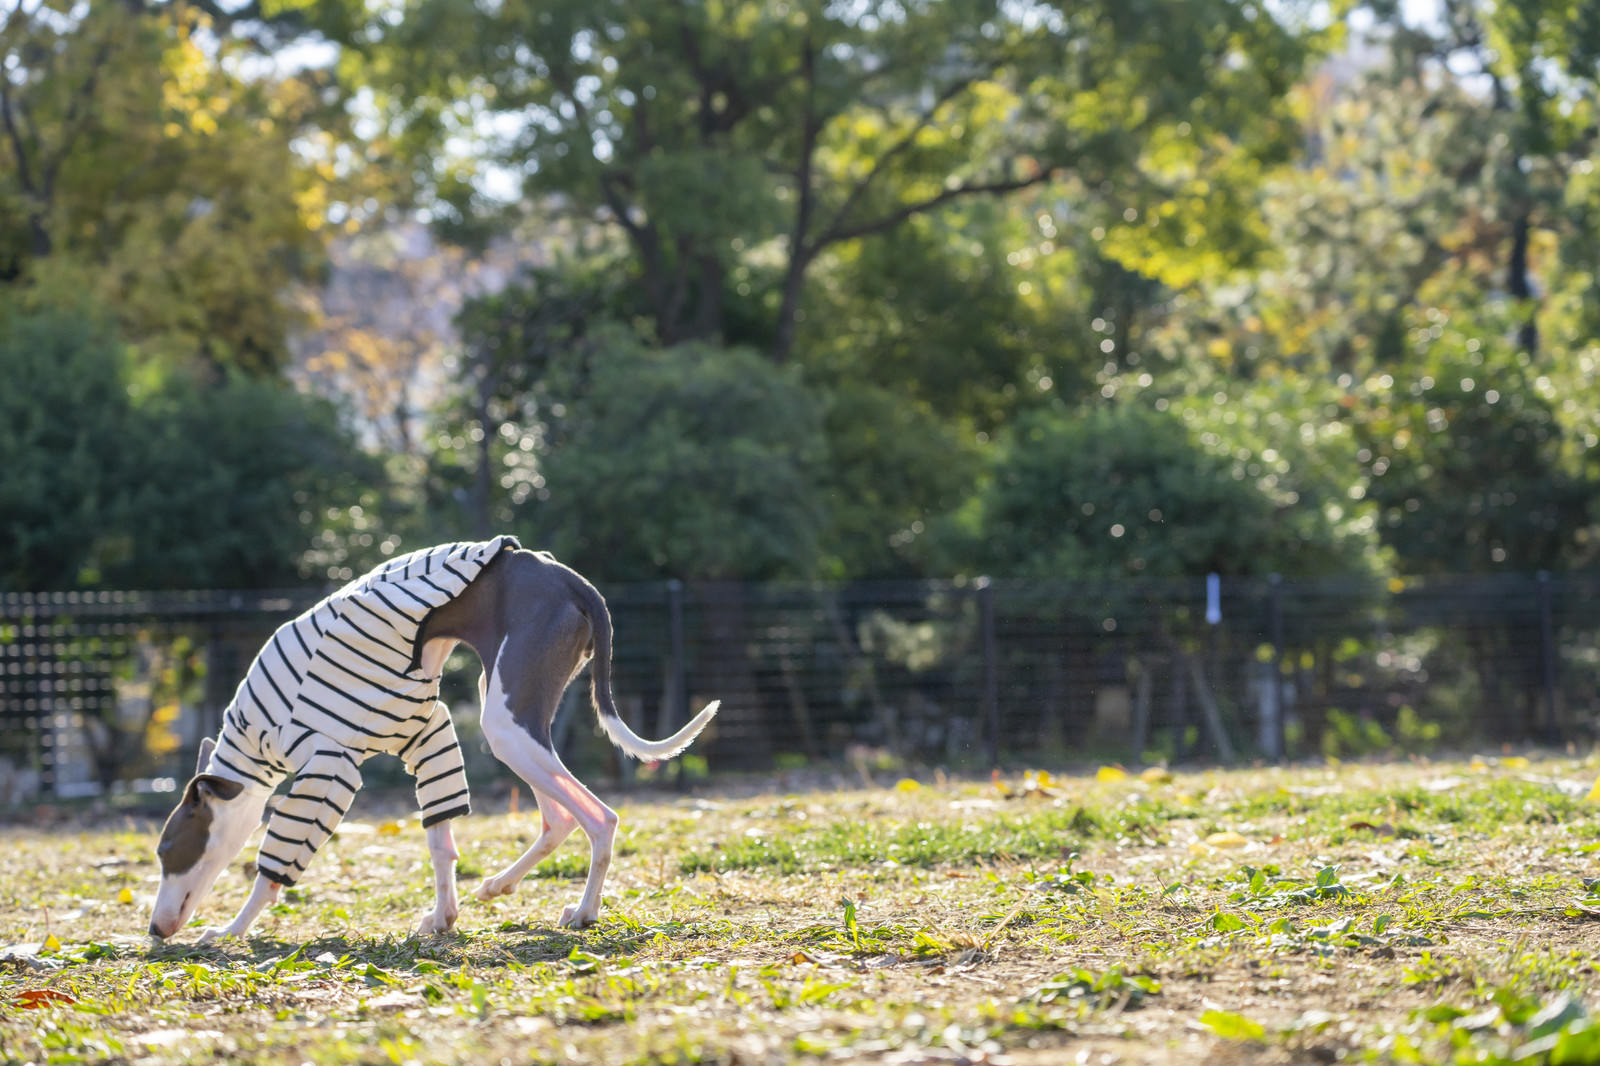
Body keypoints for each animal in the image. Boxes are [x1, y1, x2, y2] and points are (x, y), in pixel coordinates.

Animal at [144, 541, 720, 941]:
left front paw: (231, 930)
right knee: (558, 817)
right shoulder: (426, 735)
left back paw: (583, 911)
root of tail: (568, 578)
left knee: (600, 818)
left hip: (506, 724)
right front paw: (444, 917)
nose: (153, 930)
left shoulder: (328, 768)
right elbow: (440, 840)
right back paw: (499, 885)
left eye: (168, 850)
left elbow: (276, 863)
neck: (255, 737)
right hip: (512, 716)